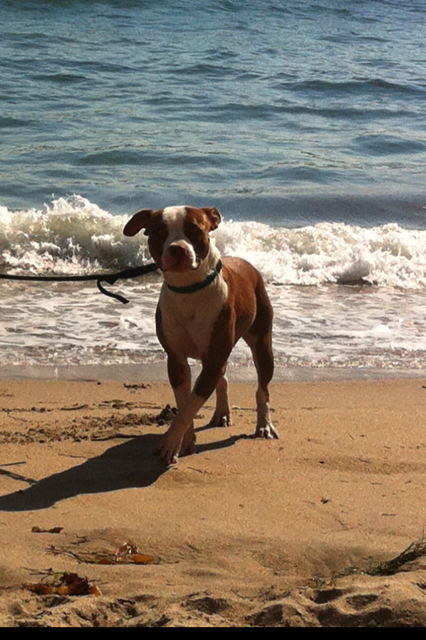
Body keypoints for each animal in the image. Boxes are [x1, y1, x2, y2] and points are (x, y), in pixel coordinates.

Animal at [122, 205, 280, 464]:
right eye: (160, 231)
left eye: (195, 230)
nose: (177, 248)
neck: (188, 290)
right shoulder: (176, 359)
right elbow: (184, 403)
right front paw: (185, 442)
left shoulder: (213, 358)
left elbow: (189, 407)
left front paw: (169, 444)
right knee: (223, 379)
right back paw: (222, 413)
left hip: (262, 340)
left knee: (262, 388)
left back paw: (264, 425)